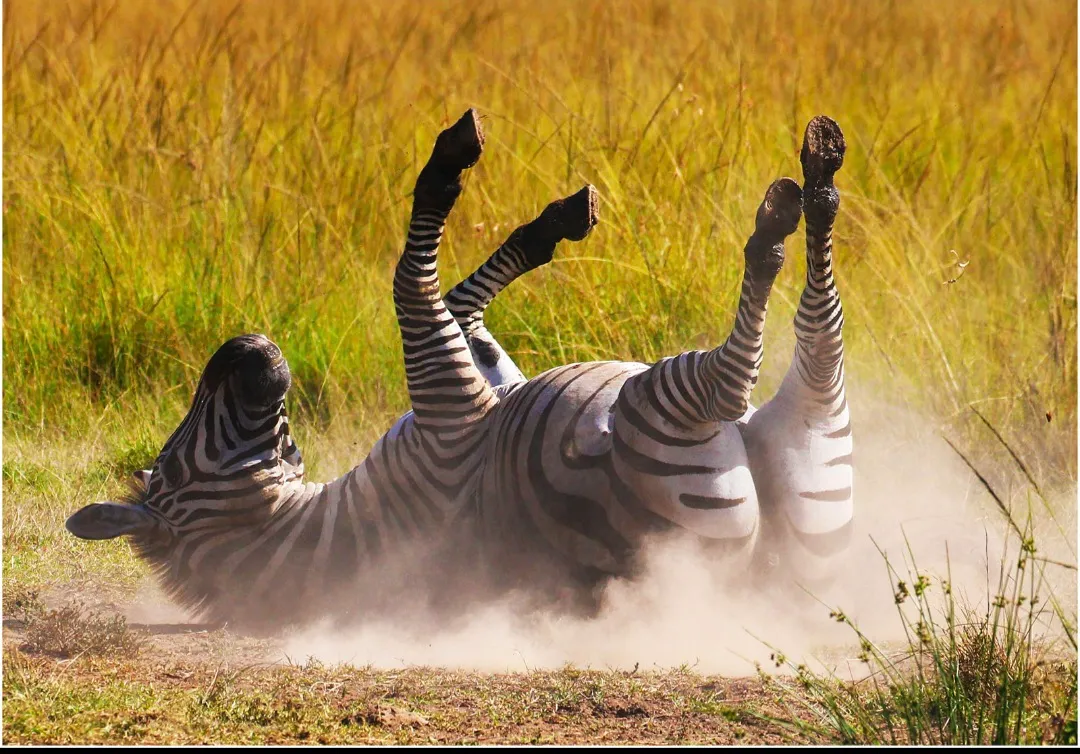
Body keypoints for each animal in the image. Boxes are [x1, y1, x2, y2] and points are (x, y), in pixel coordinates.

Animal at [64, 110, 599, 630]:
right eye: (173, 468)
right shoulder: (451, 413)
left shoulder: (483, 385)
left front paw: (552, 225)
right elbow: (414, 283)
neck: (312, 524)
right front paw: (452, 160)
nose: (243, 345)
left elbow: (463, 304)